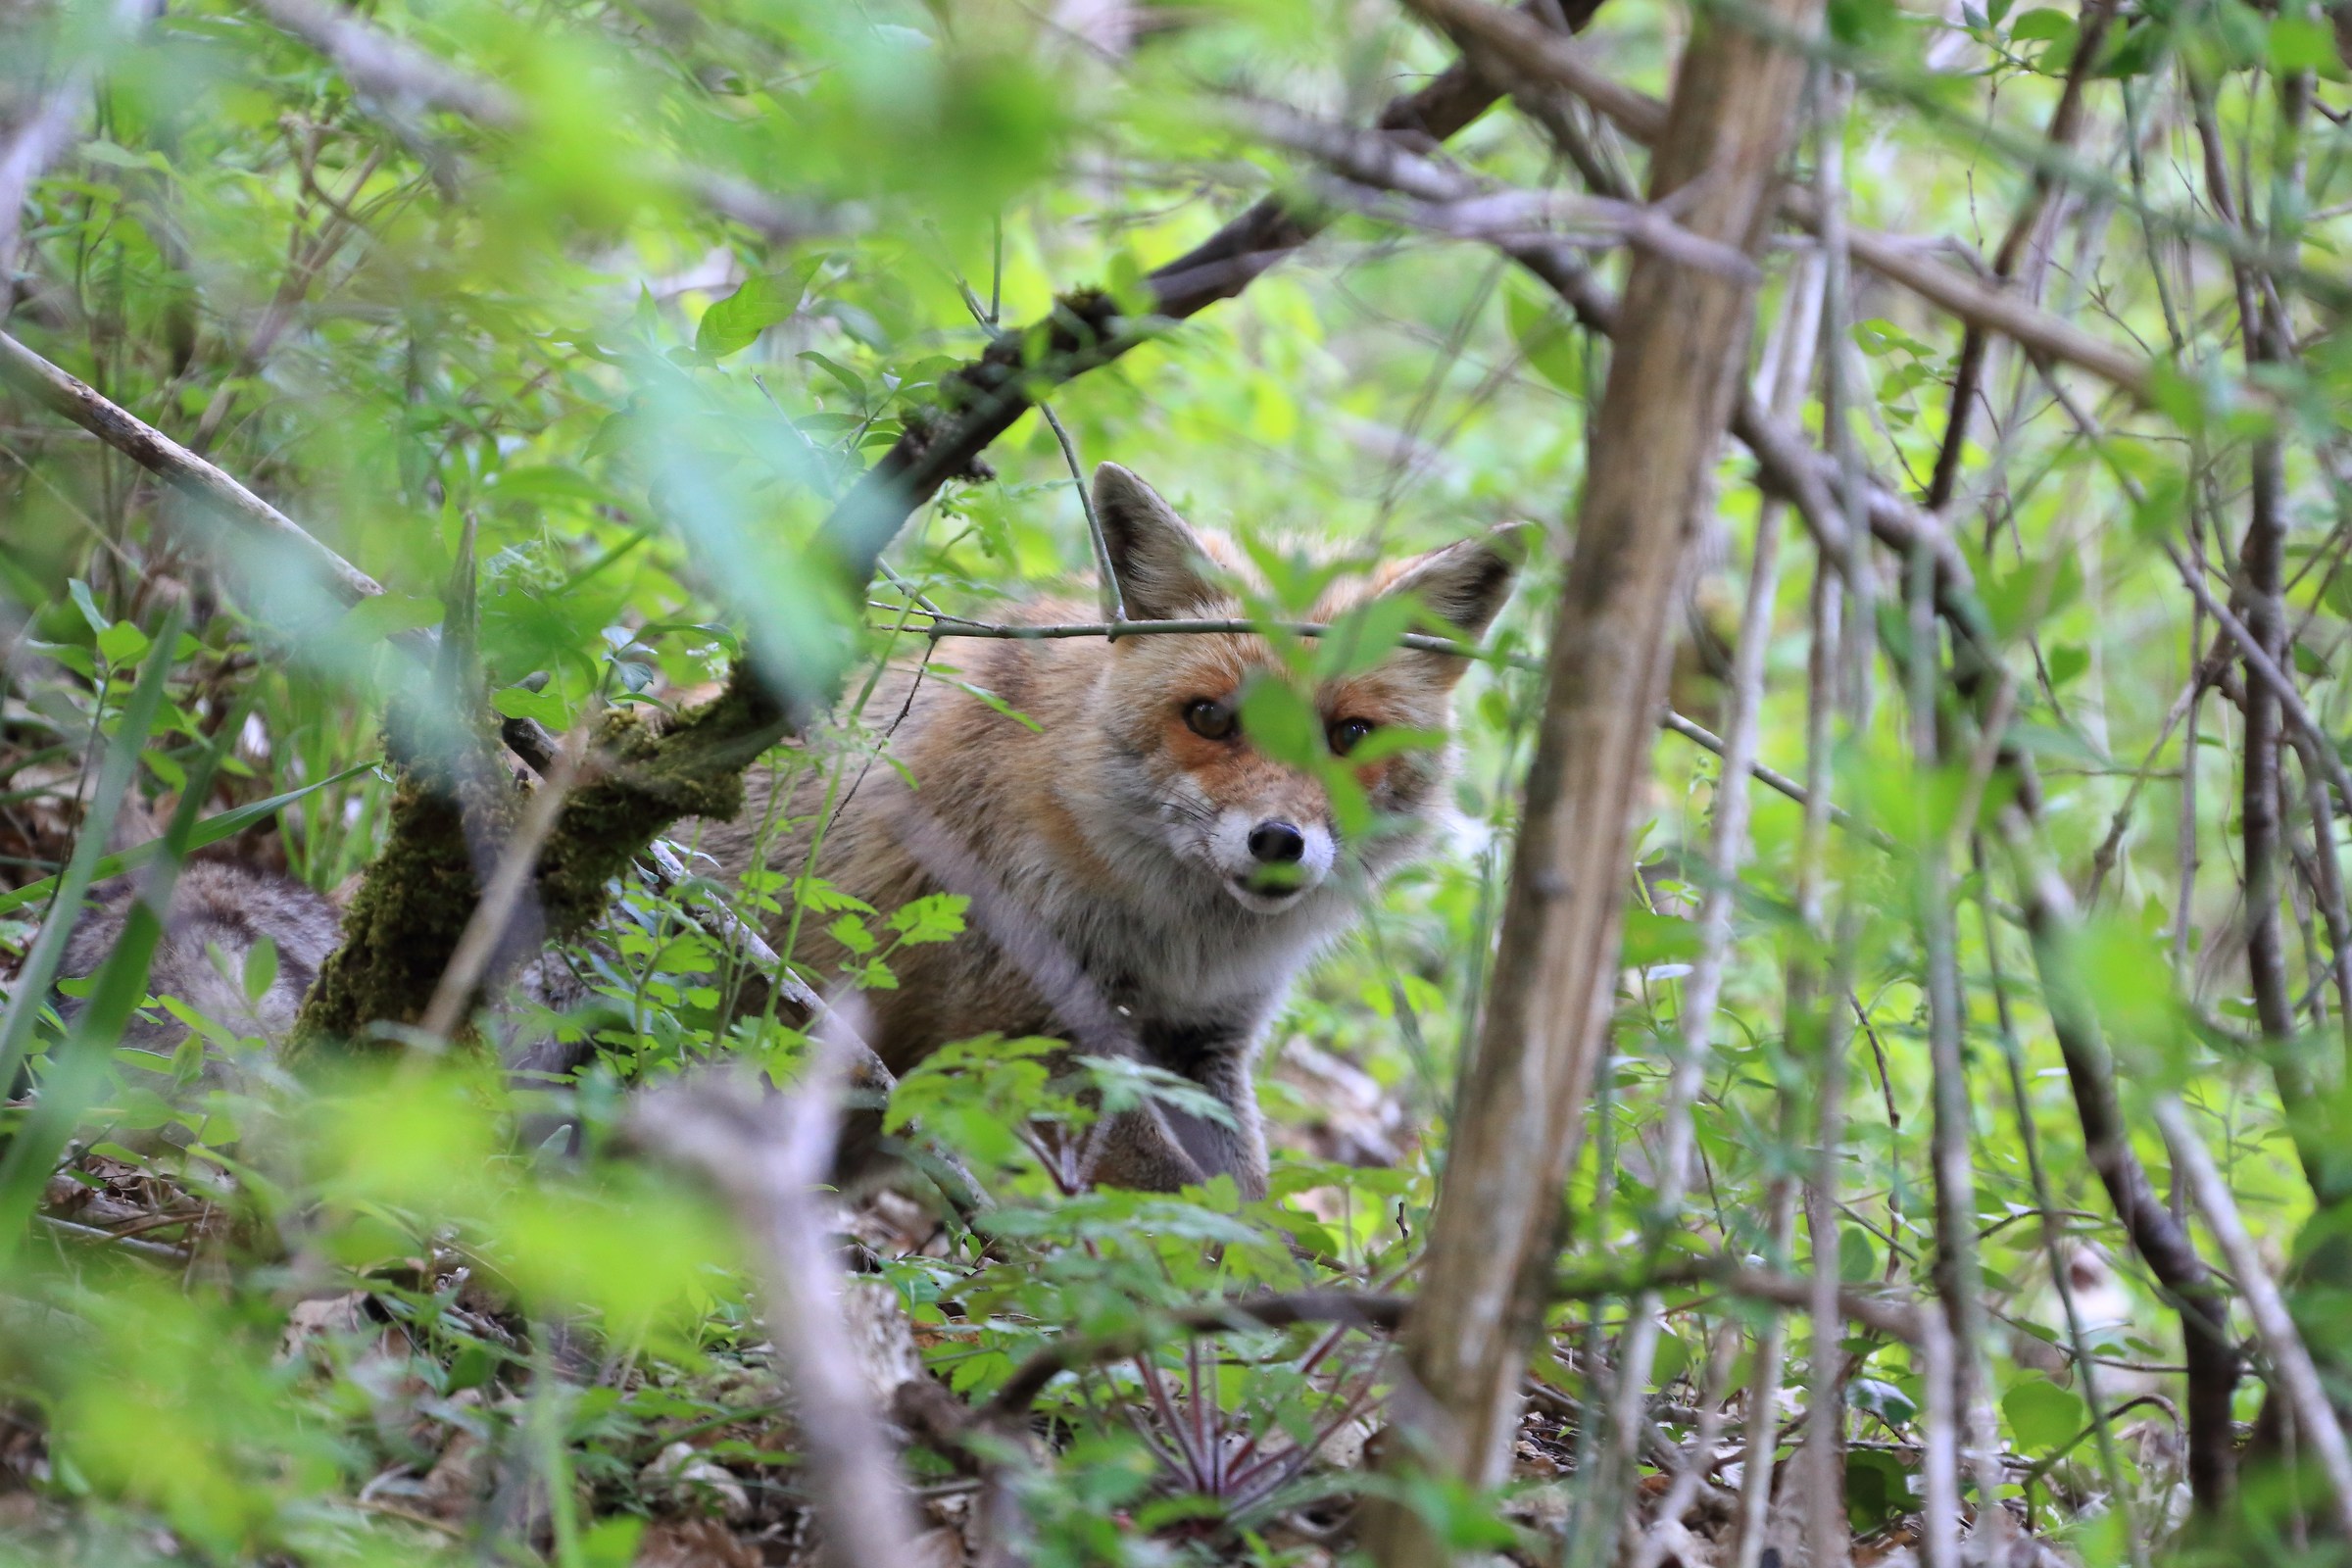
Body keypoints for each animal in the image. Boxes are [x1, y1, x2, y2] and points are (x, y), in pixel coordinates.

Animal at [694, 464, 1521, 1197]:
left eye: (1350, 735)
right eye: (1209, 717)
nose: (1279, 841)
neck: (1184, 944)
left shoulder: (1204, 1042)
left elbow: (1243, 1201)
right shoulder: (1032, 1028)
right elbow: (1182, 1206)